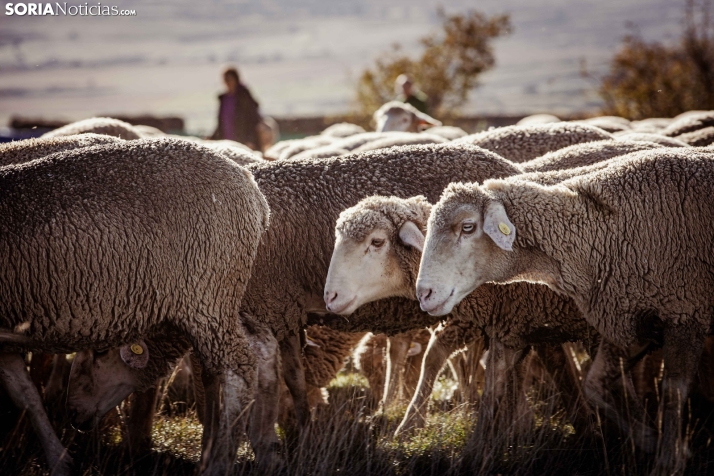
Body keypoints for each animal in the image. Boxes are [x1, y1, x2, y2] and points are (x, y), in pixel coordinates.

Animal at [0, 138, 270, 476]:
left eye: (102, 351)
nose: (72, 414)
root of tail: (251, 186)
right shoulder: (7, 339)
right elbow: (25, 395)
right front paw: (59, 459)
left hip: (208, 298)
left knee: (239, 369)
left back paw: (219, 462)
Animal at [326, 196, 608, 442]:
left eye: (376, 242)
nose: (330, 296)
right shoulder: (513, 323)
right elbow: (441, 357)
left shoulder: (529, 320)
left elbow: (556, 370)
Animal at [414, 147, 712, 474]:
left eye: (467, 227)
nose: (423, 293)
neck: (598, 236)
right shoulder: (626, 321)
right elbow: (593, 385)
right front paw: (647, 438)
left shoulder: (685, 315)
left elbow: (673, 391)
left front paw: (668, 459)